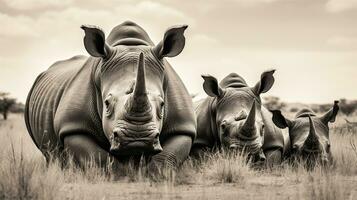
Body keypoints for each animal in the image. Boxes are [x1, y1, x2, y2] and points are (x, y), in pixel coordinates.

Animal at [25, 21, 196, 169]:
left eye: (162, 104)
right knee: (51, 156)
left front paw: (152, 175)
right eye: (106, 103)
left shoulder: (184, 126)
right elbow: (99, 159)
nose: (137, 139)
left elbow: (165, 159)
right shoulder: (73, 125)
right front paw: (121, 175)